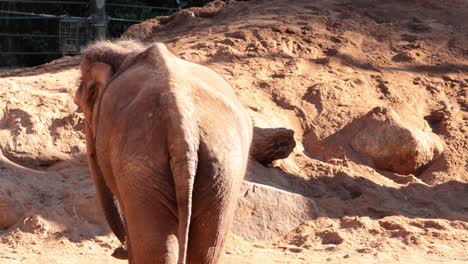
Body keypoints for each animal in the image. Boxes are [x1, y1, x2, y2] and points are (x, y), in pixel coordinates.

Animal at [74, 40, 252, 264]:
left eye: (78, 101)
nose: (118, 251)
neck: (127, 53)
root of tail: (182, 125)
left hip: (141, 169)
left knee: (154, 243)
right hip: (223, 168)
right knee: (207, 246)